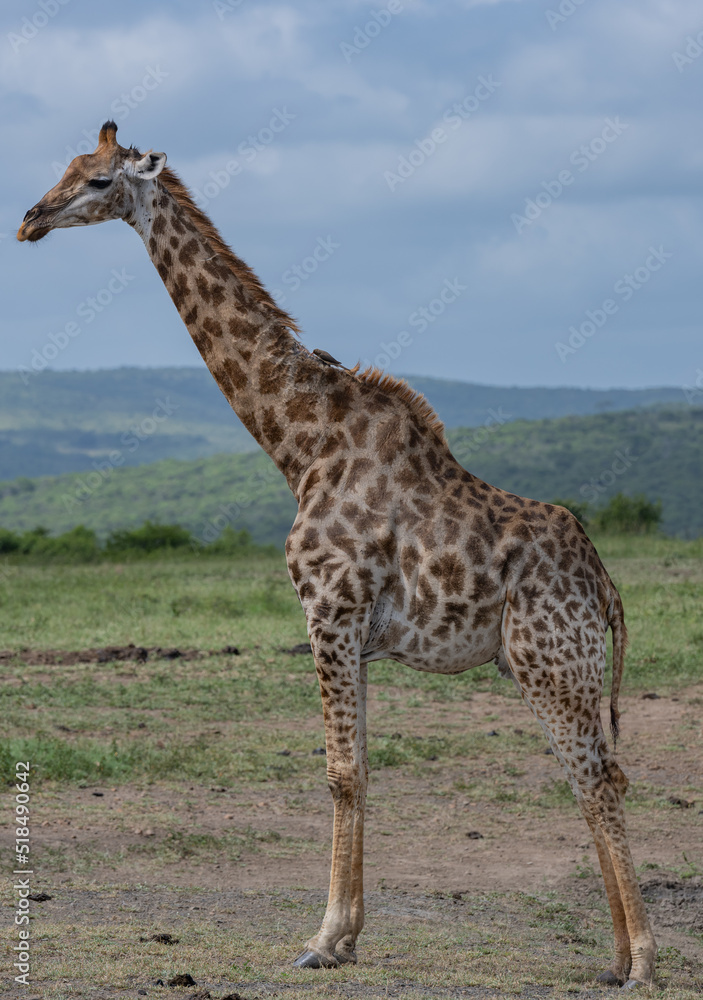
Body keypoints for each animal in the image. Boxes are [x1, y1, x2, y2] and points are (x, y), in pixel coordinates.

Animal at [18, 121, 656, 989]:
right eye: (67, 166)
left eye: (96, 181)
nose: (29, 220)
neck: (301, 445)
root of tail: (606, 585)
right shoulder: (353, 632)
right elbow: (361, 769)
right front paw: (347, 936)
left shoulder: (327, 610)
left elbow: (339, 772)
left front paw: (322, 938)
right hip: (549, 664)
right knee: (591, 776)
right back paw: (616, 957)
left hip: (551, 661)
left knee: (597, 776)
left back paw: (642, 960)